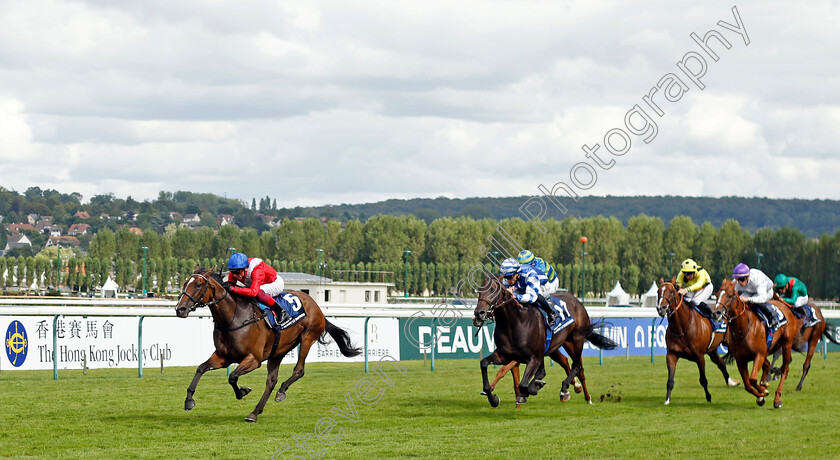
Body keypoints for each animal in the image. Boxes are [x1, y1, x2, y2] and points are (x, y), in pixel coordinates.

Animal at [174, 268, 360, 422]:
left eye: (198, 284)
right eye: (185, 283)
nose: (180, 309)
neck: (233, 317)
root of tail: (315, 305)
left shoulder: (254, 359)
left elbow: (232, 376)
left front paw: (242, 392)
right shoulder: (223, 357)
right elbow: (201, 368)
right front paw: (189, 400)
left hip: (307, 338)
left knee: (298, 370)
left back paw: (281, 392)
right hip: (278, 350)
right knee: (271, 380)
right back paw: (254, 413)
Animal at [476, 274, 620, 404]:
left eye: (493, 290)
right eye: (479, 291)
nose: (478, 313)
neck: (514, 323)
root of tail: (578, 303)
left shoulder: (533, 357)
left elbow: (524, 384)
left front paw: (532, 389)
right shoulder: (505, 355)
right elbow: (484, 364)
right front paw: (493, 398)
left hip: (576, 341)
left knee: (578, 366)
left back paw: (571, 391)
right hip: (556, 346)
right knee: (565, 364)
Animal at [712, 278, 796, 408]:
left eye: (730, 296)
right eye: (716, 295)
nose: (716, 313)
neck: (743, 329)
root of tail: (785, 306)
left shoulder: (759, 354)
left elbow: (752, 379)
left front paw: (763, 391)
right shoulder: (741, 360)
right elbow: (748, 385)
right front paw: (761, 395)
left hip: (787, 344)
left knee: (784, 370)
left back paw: (777, 399)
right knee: (767, 365)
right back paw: (764, 386)